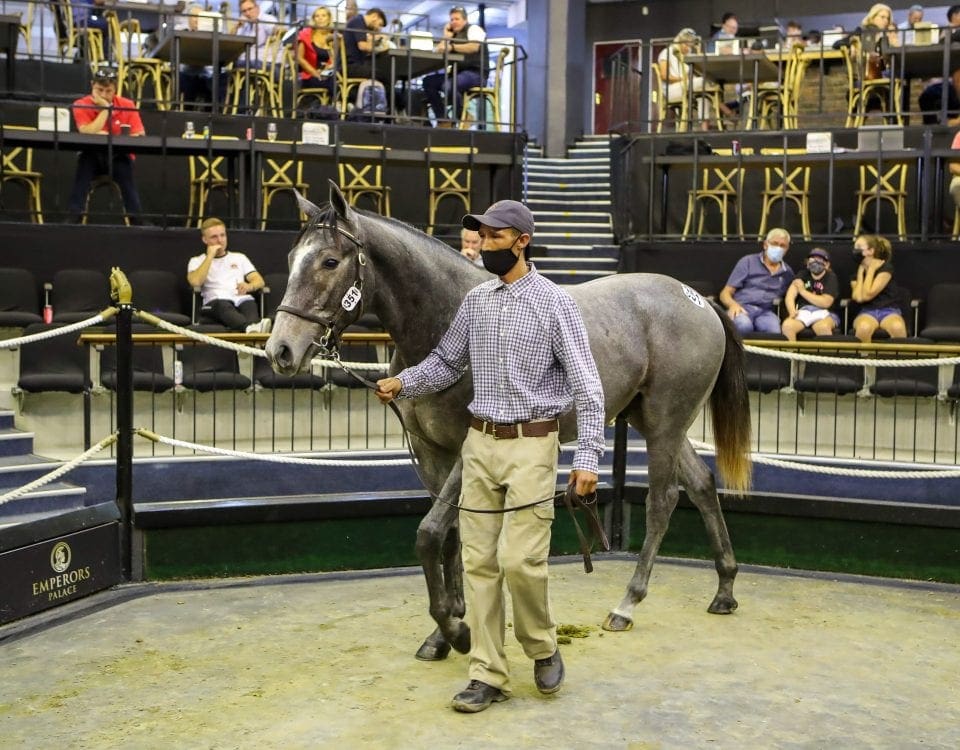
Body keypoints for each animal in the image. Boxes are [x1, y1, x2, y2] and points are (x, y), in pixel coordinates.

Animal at [268, 185, 752, 660]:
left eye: (330, 261)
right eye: (291, 258)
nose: (281, 351)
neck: (446, 321)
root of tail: (698, 301)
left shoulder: (470, 447)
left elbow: (430, 532)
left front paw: (456, 630)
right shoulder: (431, 450)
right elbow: (451, 534)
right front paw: (445, 630)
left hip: (665, 422)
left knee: (663, 500)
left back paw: (627, 604)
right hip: (655, 422)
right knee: (702, 485)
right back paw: (725, 588)